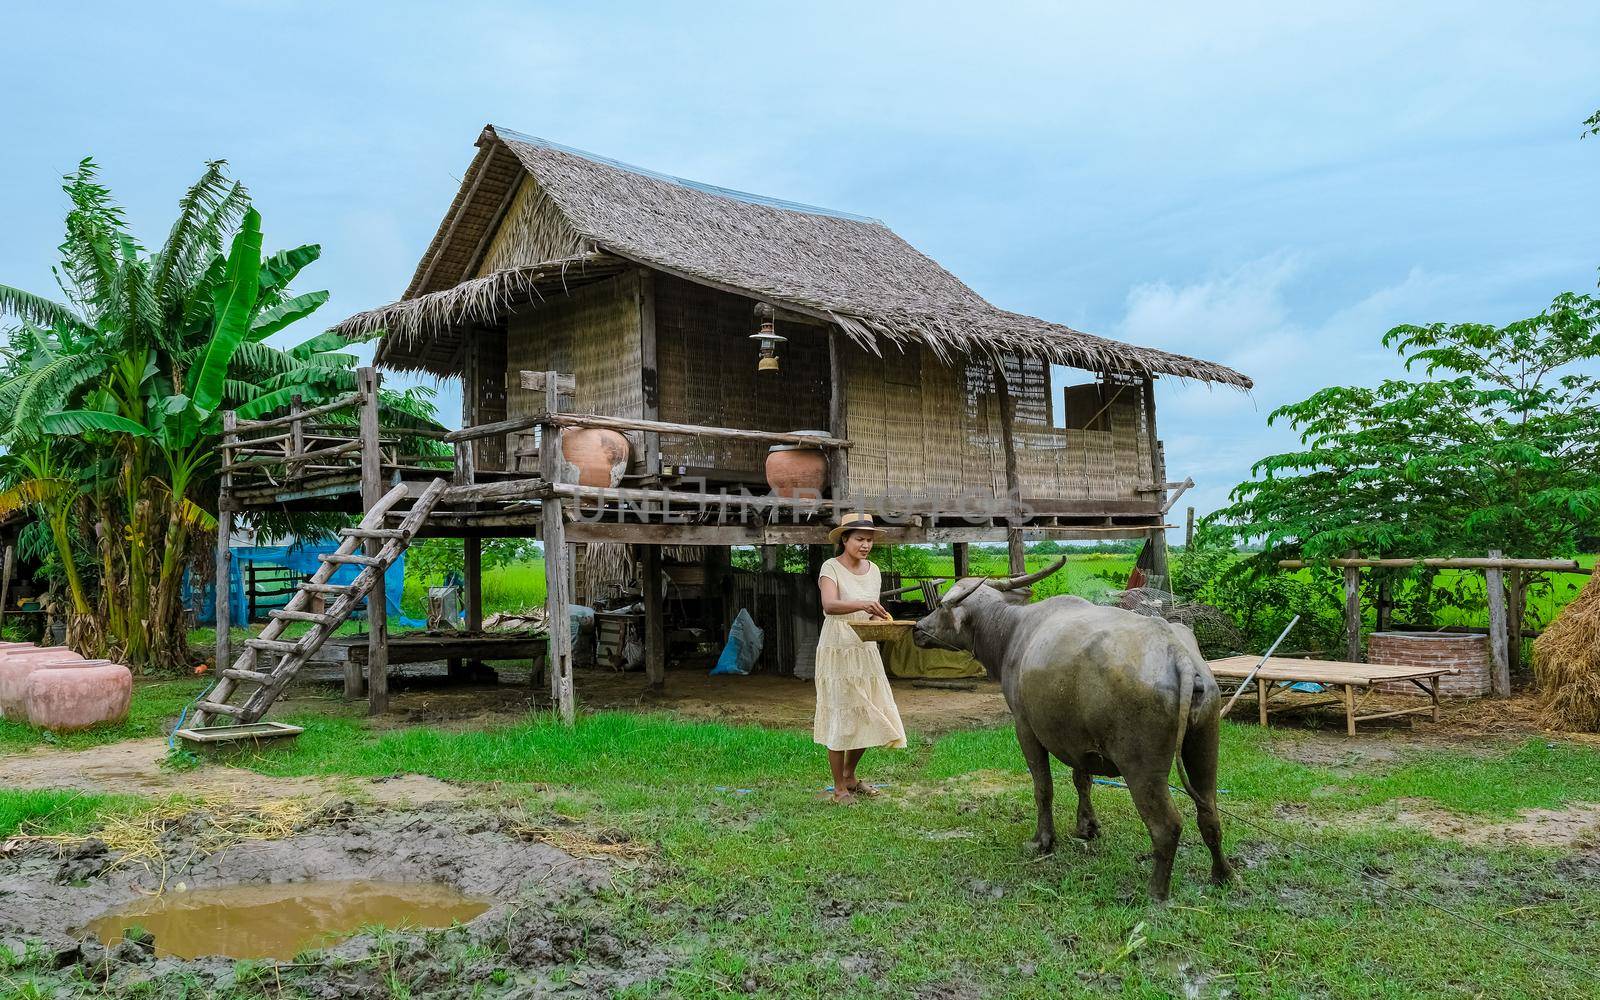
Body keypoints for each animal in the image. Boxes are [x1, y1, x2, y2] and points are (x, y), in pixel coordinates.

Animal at [915, 556, 1235, 902]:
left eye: (942, 606)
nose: (917, 628)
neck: (1011, 632)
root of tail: (1178, 655)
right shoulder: (1077, 739)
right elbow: (1083, 780)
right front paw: (1087, 827)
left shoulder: (1025, 727)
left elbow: (1043, 787)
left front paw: (1042, 840)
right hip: (1205, 744)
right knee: (1209, 812)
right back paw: (1223, 875)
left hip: (1142, 767)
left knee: (1167, 825)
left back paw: (1155, 892)